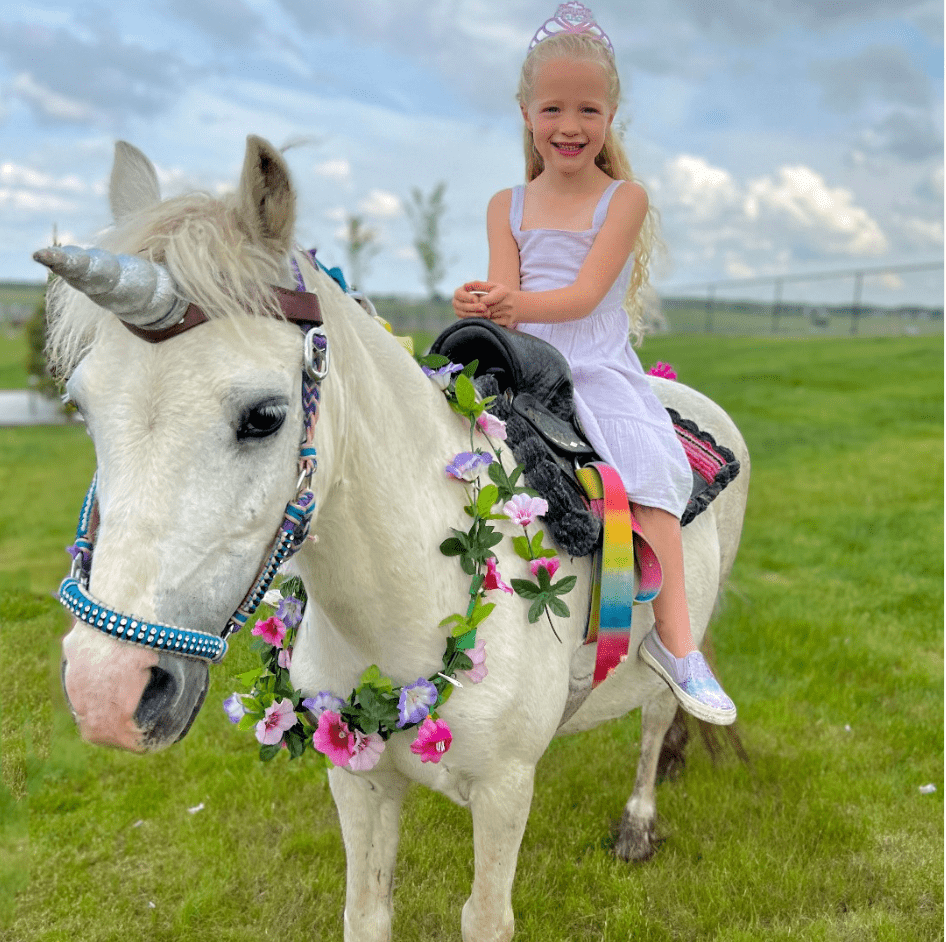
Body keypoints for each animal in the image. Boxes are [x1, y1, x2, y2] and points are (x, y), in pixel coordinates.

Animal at [37, 136, 748, 942]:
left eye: (265, 416)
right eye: (83, 408)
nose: (105, 693)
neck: (412, 596)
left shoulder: (504, 792)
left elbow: (486, 918)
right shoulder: (359, 781)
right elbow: (368, 913)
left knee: (659, 714)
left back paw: (639, 820)